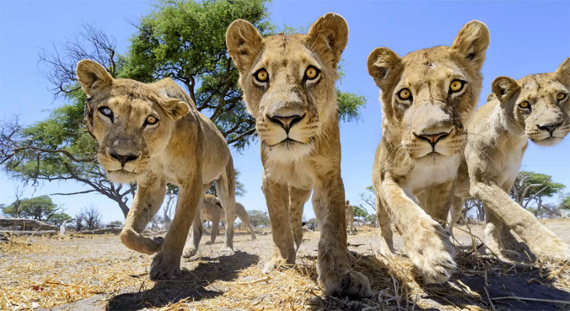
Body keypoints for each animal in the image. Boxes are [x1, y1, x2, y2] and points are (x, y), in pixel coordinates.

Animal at [75, 59, 235, 280]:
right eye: (106, 112)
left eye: (151, 120)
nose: (123, 156)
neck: (160, 150)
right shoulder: (153, 183)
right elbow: (127, 231)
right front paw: (155, 243)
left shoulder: (190, 181)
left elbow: (178, 226)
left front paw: (165, 266)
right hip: (200, 191)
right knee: (197, 225)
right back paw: (190, 250)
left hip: (224, 184)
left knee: (228, 217)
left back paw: (227, 248)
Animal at [224, 13, 370, 298]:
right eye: (261, 75)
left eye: (311, 73)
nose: (286, 118)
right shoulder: (270, 179)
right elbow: (279, 222)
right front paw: (281, 261)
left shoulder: (329, 177)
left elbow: (333, 227)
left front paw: (340, 275)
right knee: (291, 217)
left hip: (305, 190)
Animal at [368, 21, 488, 286]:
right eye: (404, 94)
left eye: (455, 85)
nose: (433, 135)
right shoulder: (389, 179)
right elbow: (404, 211)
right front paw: (432, 255)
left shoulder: (444, 184)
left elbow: (438, 216)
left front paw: (442, 243)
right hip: (378, 199)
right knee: (384, 226)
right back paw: (387, 251)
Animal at [448, 58, 568, 260]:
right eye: (524, 105)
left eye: (561, 96)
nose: (551, 126)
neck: (512, 139)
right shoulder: (482, 182)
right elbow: (517, 213)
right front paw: (554, 247)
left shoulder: (505, 183)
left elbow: (499, 219)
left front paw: (504, 248)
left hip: (457, 201)